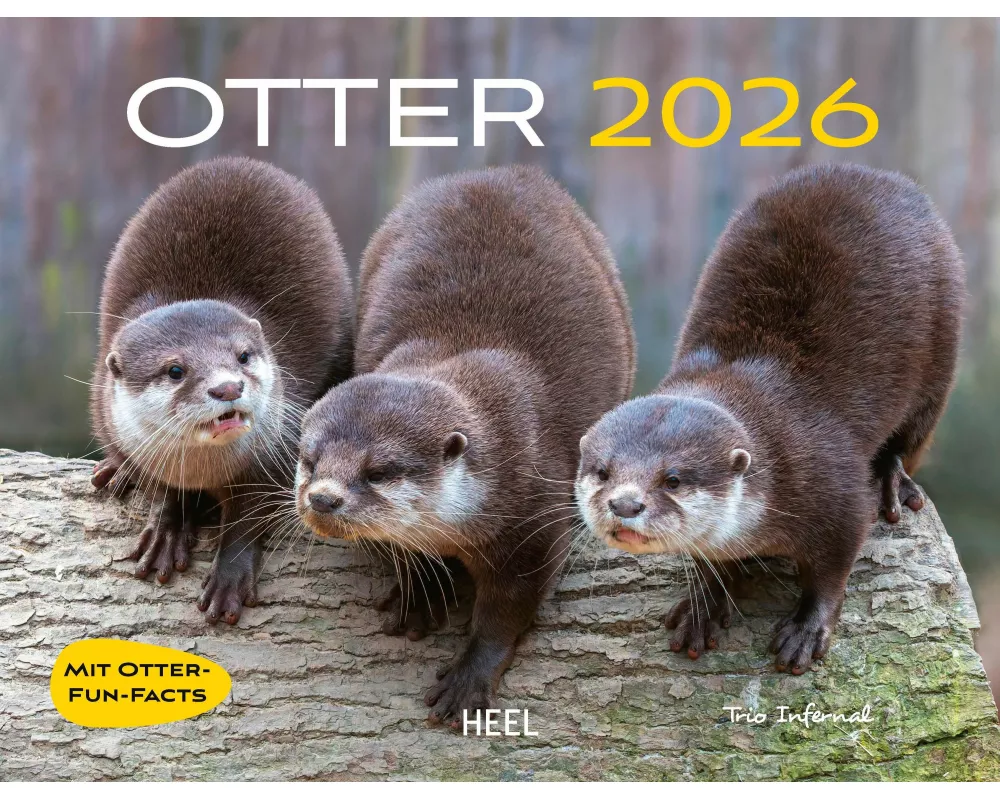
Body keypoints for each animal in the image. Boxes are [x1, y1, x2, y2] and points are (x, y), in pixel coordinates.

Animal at [90, 156, 354, 623]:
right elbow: (164, 489)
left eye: (243, 356)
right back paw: (116, 472)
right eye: (175, 369)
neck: (207, 472)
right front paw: (167, 529)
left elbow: (250, 516)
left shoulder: (279, 454)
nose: (228, 387)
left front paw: (228, 578)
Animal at [295, 165, 635, 726]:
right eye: (309, 460)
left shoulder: (533, 521)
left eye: (380, 471)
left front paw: (470, 676)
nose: (322, 497)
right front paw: (421, 594)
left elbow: (508, 609)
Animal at [576, 163, 964, 674]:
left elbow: (834, 567)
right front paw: (703, 605)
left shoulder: (835, 488)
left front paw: (806, 630)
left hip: (942, 345)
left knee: (913, 435)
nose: (624, 504)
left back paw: (892, 480)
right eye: (602, 472)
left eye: (673, 479)